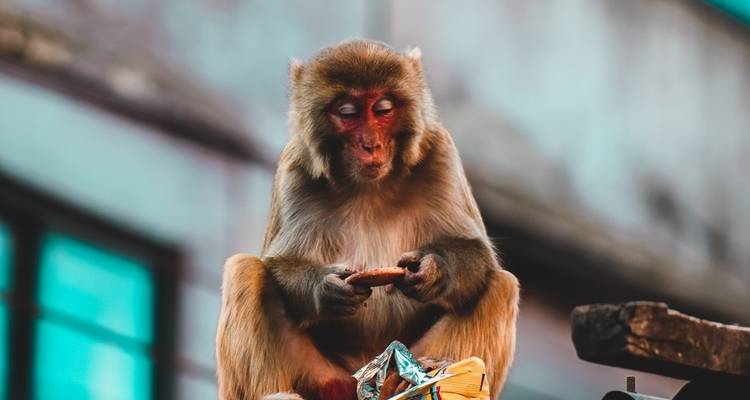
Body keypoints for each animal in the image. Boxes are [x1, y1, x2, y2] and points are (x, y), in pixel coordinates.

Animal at [215, 39, 519, 400]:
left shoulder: (440, 152)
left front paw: (432, 270)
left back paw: (423, 376)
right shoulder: (296, 167)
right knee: (246, 270)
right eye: (348, 112)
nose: (370, 145)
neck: (369, 187)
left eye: (383, 109)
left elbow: (476, 252)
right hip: (321, 377)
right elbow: (280, 264)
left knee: (500, 285)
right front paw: (325, 288)